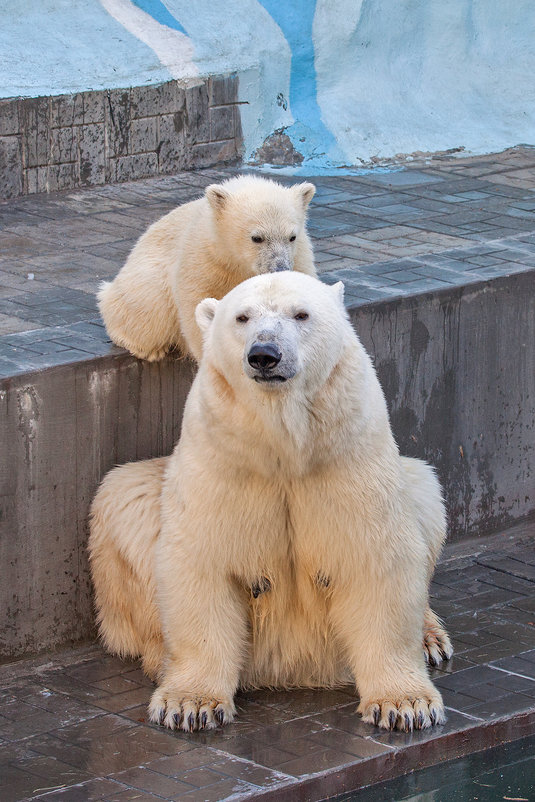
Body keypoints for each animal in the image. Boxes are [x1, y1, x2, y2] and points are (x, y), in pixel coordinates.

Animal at [89, 270, 452, 732]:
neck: (284, 446)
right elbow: (201, 560)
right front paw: (189, 704)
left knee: (425, 490)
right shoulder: (223, 459)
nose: (264, 355)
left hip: (410, 482)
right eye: (242, 317)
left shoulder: (346, 456)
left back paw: (429, 638)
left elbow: (376, 557)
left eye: (301, 314)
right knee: (122, 494)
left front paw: (405, 706)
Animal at [96, 177, 316, 362]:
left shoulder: (299, 257)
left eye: (291, 237)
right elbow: (198, 306)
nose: (280, 267)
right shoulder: (205, 258)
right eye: (257, 238)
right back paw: (147, 348)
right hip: (144, 278)